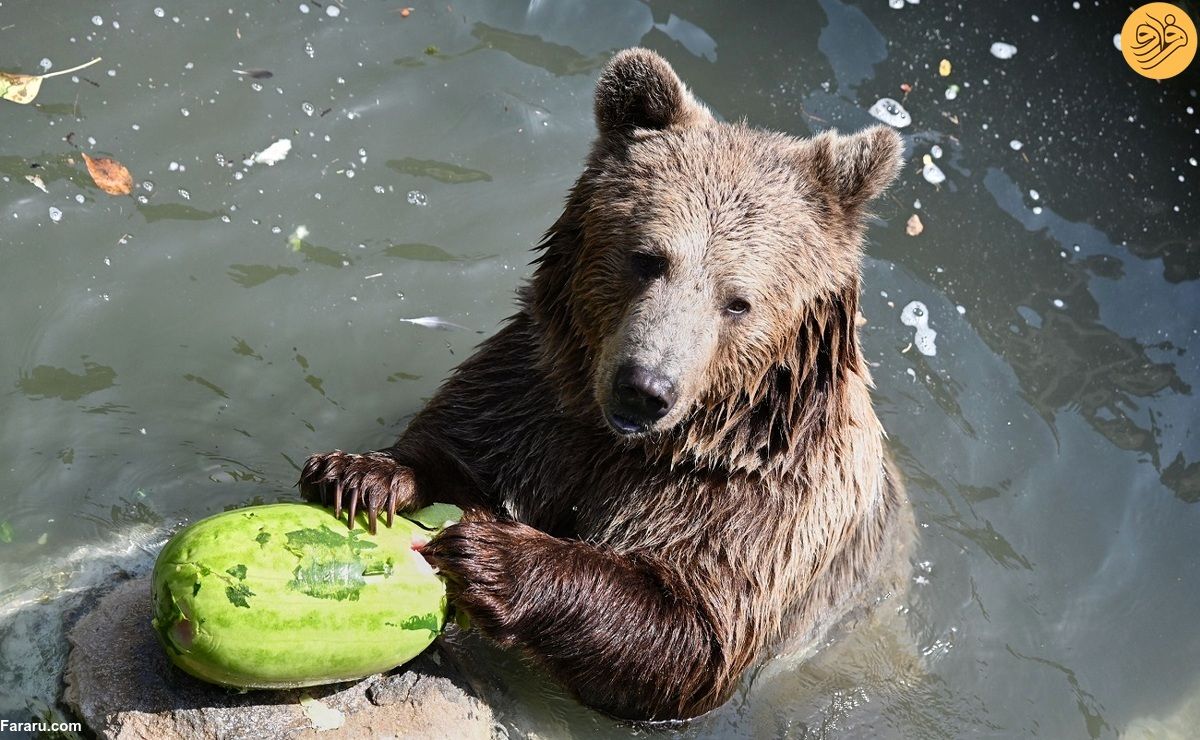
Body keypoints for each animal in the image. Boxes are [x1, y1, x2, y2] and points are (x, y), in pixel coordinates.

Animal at [302, 47, 907, 719]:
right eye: (648, 258)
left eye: (738, 301)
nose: (644, 387)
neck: (635, 444)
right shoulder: (533, 397)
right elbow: (458, 448)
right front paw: (360, 476)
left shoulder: (765, 498)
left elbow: (692, 631)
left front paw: (491, 556)